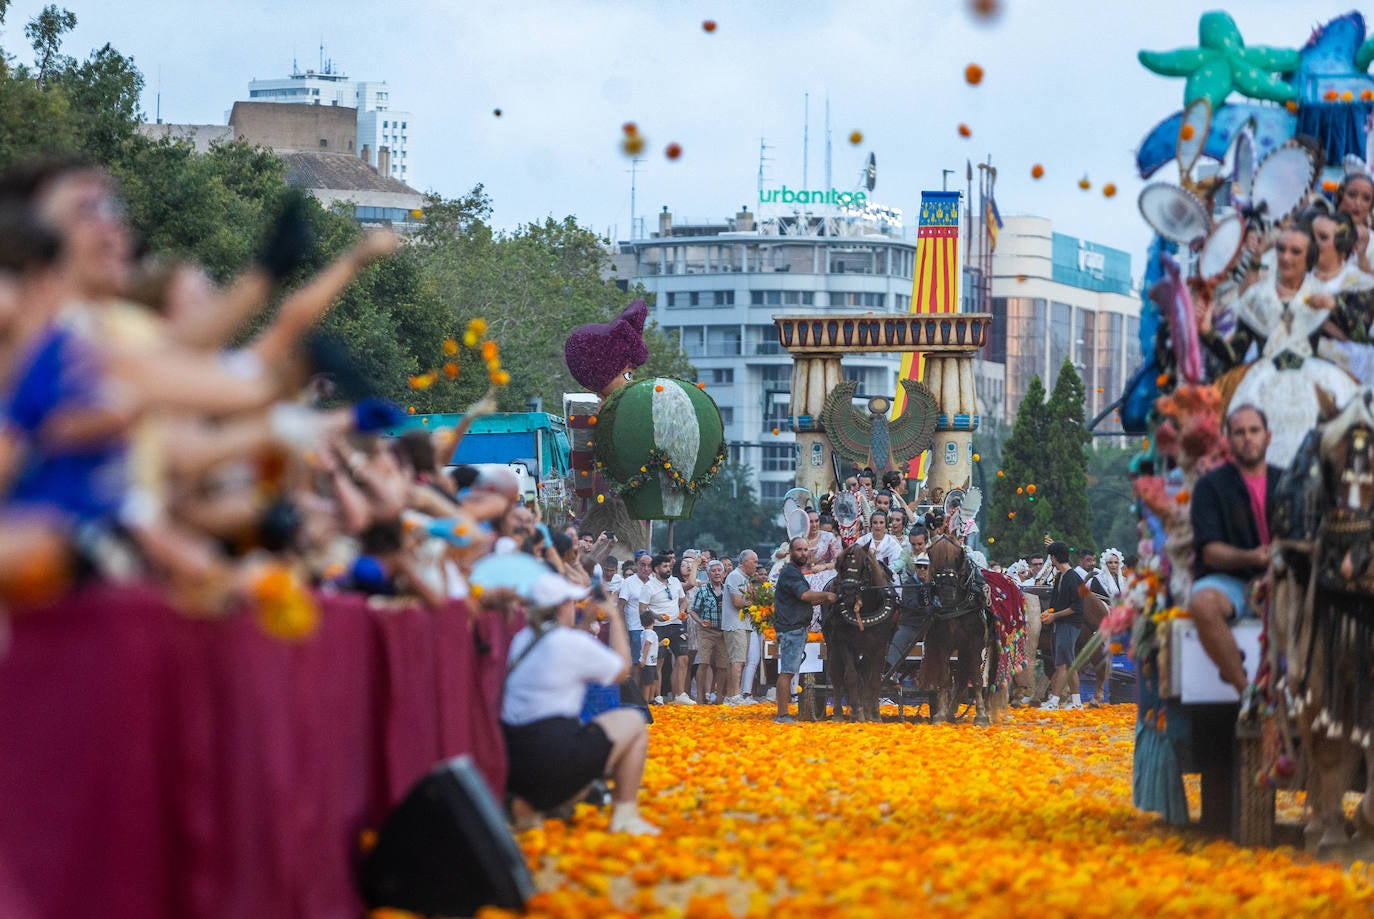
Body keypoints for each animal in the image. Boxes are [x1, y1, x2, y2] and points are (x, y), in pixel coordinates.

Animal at [824, 541, 901, 719]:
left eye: (863, 566)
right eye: (840, 564)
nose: (848, 591)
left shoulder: (880, 645)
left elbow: (874, 679)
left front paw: (873, 714)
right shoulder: (844, 642)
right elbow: (851, 676)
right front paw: (857, 713)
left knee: (866, 675)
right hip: (833, 644)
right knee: (836, 675)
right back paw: (839, 713)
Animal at [923, 530, 1000, 725]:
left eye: (958, 555)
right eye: (931, 555)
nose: (947, 593)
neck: (956, 608)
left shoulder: (975, 643)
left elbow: (978, 679)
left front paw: (981, 716)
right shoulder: (943, 644)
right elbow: (945, 678)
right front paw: (941, 714)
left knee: (989, 678)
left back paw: (988, 710)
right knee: (962, 678)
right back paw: (951, 711)